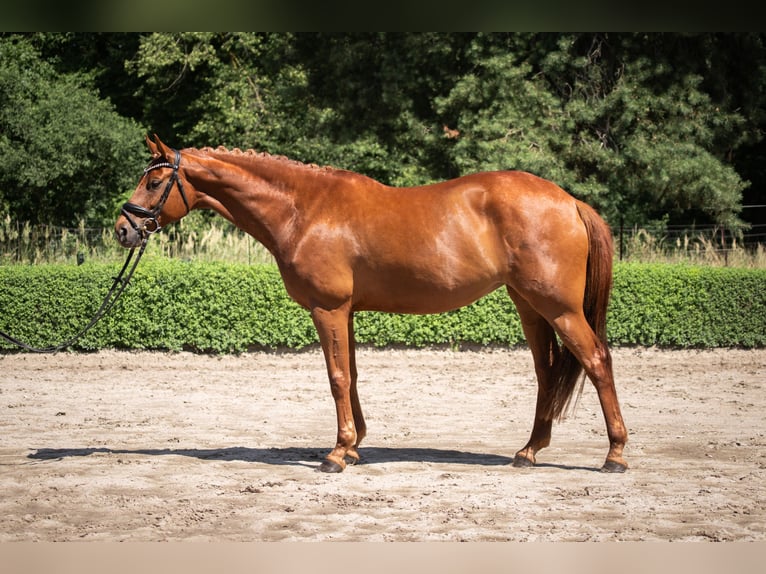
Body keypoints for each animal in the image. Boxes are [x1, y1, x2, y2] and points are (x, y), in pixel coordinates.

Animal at [115, 135, 628, 473]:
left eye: (155, 182)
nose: (123, 230)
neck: (304, 209)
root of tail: (569, 201)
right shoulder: (346, 312)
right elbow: (353, 374)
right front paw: (355, 445)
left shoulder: (328, 309)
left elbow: (337, 377)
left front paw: (337, 454)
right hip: (529, 305)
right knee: (547, 372)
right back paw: (529, 451)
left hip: (559, 308)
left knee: (597, 361)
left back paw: (615, 455)